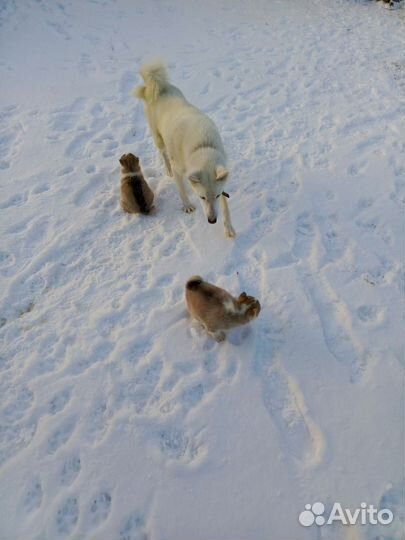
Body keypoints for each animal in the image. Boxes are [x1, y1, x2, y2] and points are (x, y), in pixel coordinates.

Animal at [133, 62, 234, 237]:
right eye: (201, 197)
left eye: (216, 195)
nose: (212, 220)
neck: (201, 146)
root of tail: (159, 85)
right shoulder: (179, 169)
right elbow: (181, 189)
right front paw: (187, 206)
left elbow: (225, 207)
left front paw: (228, 228)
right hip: (159, 138)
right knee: (163, 153)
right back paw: (167, 170)